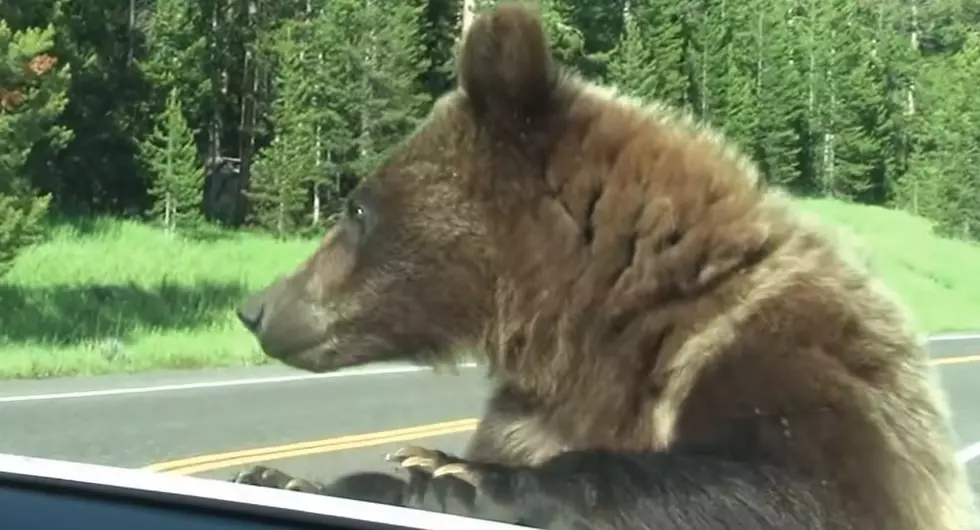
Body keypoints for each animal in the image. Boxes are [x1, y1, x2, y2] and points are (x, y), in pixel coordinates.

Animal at [228, 2, 972, 524]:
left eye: (356, 208)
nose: (255, 306)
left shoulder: (793, 355)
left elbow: (803, 485)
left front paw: (448, 473)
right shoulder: (532, 410)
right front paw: (281, 475)